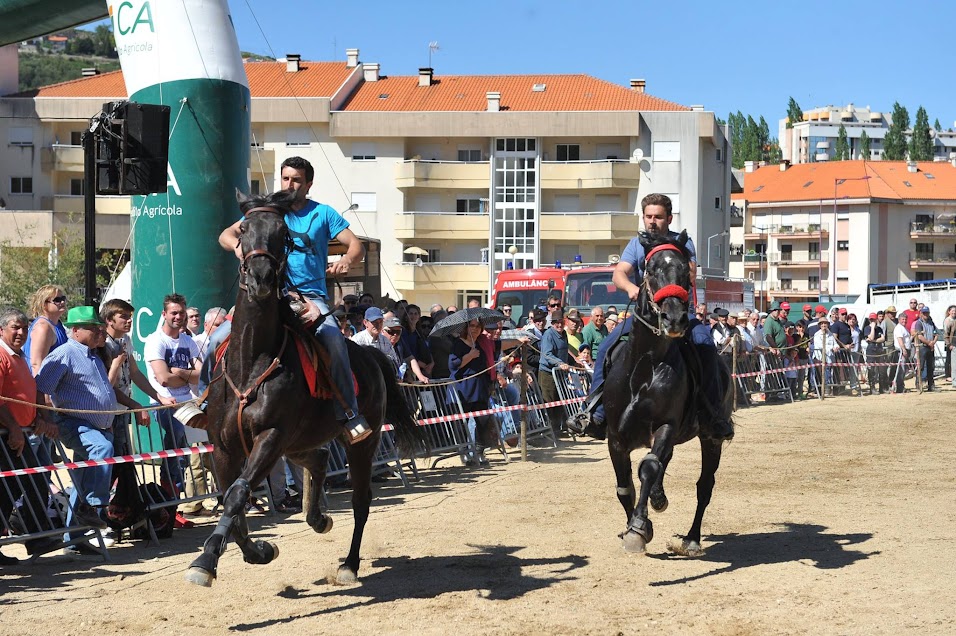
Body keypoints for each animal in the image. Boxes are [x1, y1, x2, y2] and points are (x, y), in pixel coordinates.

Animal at [185, 191, 424, 588]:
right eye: (243, 229)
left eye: (283, 233)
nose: (261, 277)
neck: (252, 363)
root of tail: (372, 355)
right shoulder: (224, 447)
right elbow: (234, 504)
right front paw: (256, 551)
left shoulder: (270, 437)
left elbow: (237, 495)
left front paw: (204, 562)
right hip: (298, 442)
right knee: (320, 459)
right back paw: (318, 517)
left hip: (359, 442)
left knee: (361, 500)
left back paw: (349, 563)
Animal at [604, 230, 732, 556]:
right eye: (651, 270)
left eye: (685, 270)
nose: (674, 318)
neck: (646, 366)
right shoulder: (616, 437)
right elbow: (625, 487)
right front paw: (634, 525)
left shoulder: (666, 426)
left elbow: (649, 468)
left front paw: (639, 527)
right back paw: (658, 499)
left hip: (711, 438)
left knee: (704, 486)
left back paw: (691, 539)